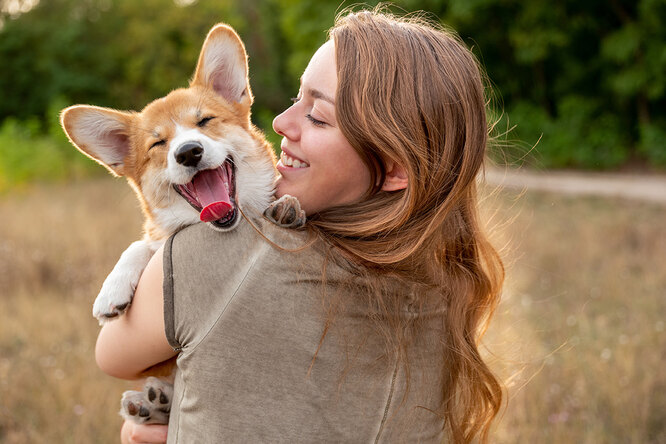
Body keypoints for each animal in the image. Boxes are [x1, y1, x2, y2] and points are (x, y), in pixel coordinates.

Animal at [59, 23, 304, 424]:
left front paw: (288, 207)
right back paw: (150, 403)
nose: (188, 152)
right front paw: (111, 291)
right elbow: (141, 244)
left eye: (204, 121)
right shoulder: (158, 237)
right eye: (158, 144)